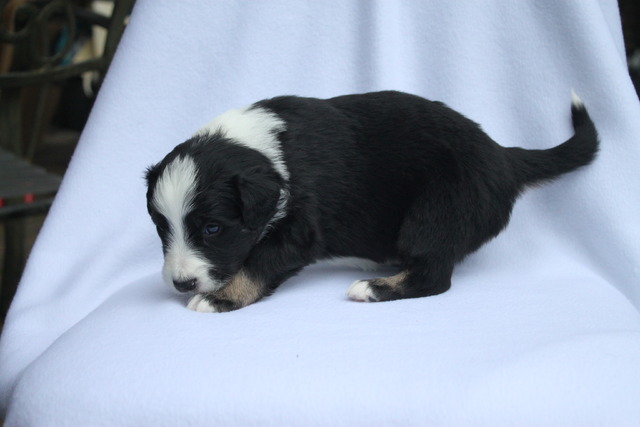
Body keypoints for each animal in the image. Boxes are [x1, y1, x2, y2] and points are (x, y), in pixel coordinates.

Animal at [146, 90, 600, 312]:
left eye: (212, 228)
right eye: (161, 228)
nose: (181, 284)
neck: (260, 151)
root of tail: (503, 155)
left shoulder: (301, 228)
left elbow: (258, 263)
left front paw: (218, 298)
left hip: (436, 212)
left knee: (434, 276)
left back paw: (374, 289)